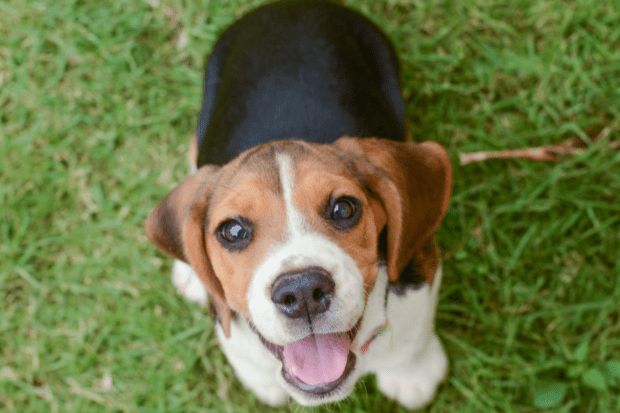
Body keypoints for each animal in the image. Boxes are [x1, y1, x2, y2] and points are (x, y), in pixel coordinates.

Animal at [147, 0, 452, 406]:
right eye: (233, 231)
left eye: (344, 209)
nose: (303, 291)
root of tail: (287, 6)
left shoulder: (419, 268)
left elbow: (412, 334)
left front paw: (412, 375)